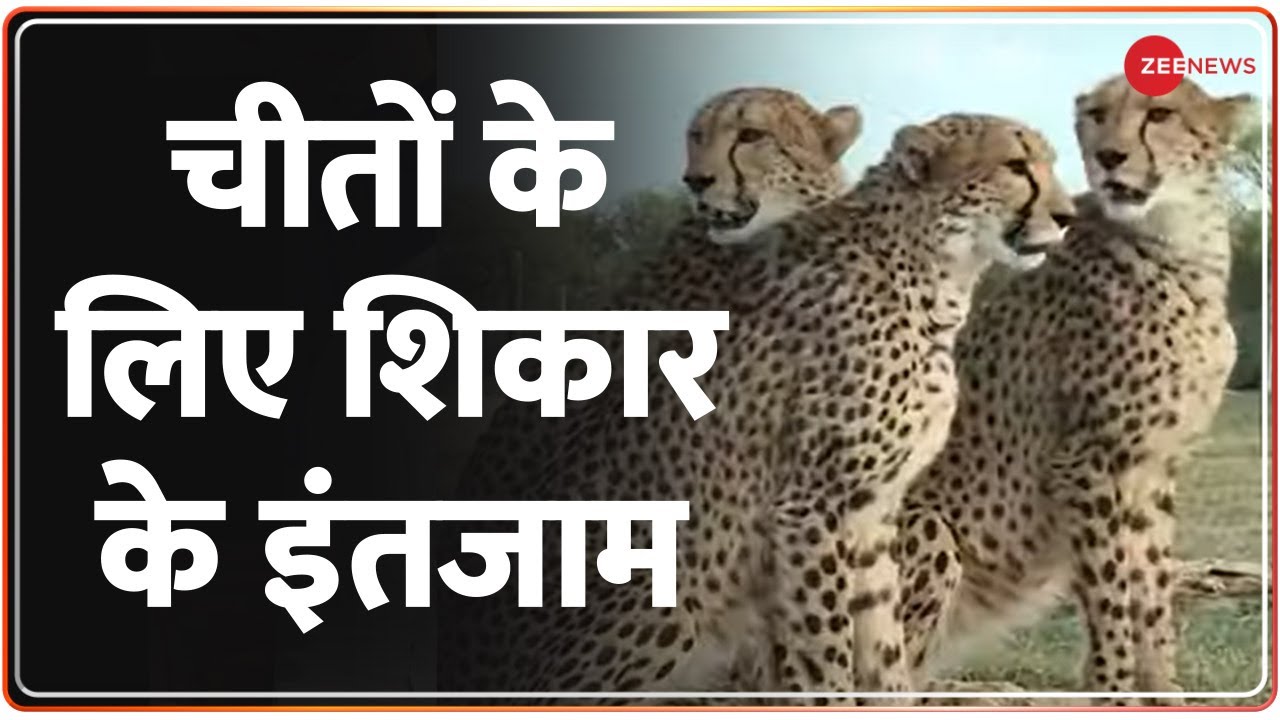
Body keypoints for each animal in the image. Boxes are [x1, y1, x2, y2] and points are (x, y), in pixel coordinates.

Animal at [439, 112, 1075, 704]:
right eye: (1016, 166)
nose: (1066, 216)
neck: (935, 272)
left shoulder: (872, 515)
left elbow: (882, 648)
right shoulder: (810, 507)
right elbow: (824, 649)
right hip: (671, 591)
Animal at [893, 75, 1254, 705]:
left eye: (1161, 113)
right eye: (1098, 114)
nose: (1110, 157)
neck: (1178, 241)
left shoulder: (1154, 469)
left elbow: (1151, 592)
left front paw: (1162, 690)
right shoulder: (1088, 464)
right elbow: (1111, 597)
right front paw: (1113, 691)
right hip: (923, 529)